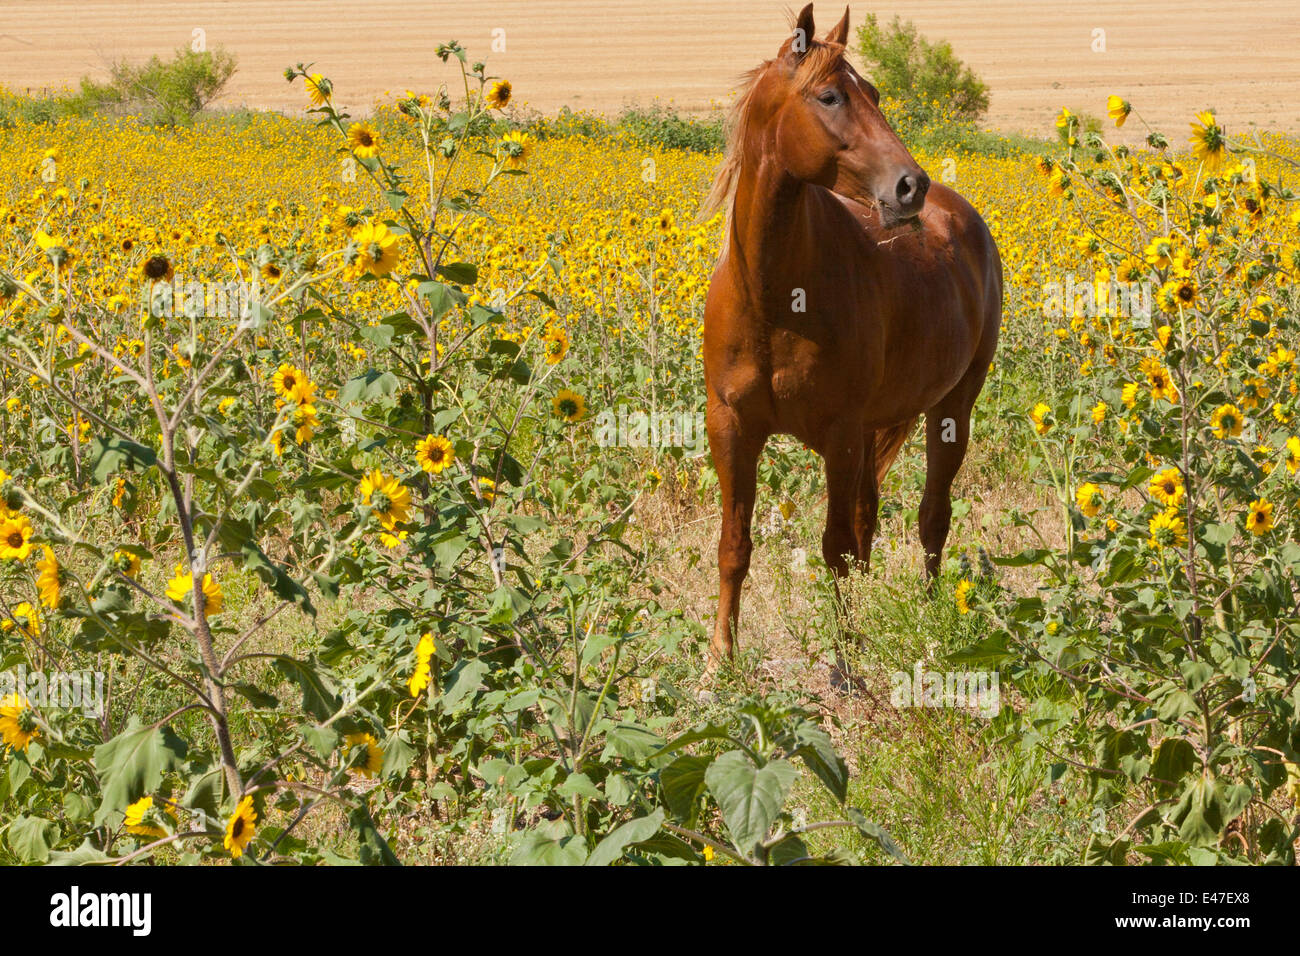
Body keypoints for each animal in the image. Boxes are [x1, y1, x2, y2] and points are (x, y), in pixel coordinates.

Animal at [707, 5, 998, 665]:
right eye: (830, 96)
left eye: (876, 93)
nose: (910, 186)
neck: (775, 300)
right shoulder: (731, 428)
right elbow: (735, 545)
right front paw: (720, 662)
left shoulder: (839, 434)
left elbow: (834, 548)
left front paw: (845, 659)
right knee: (870, 517)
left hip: (953, 408)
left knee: (931, 515)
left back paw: (932, 612)